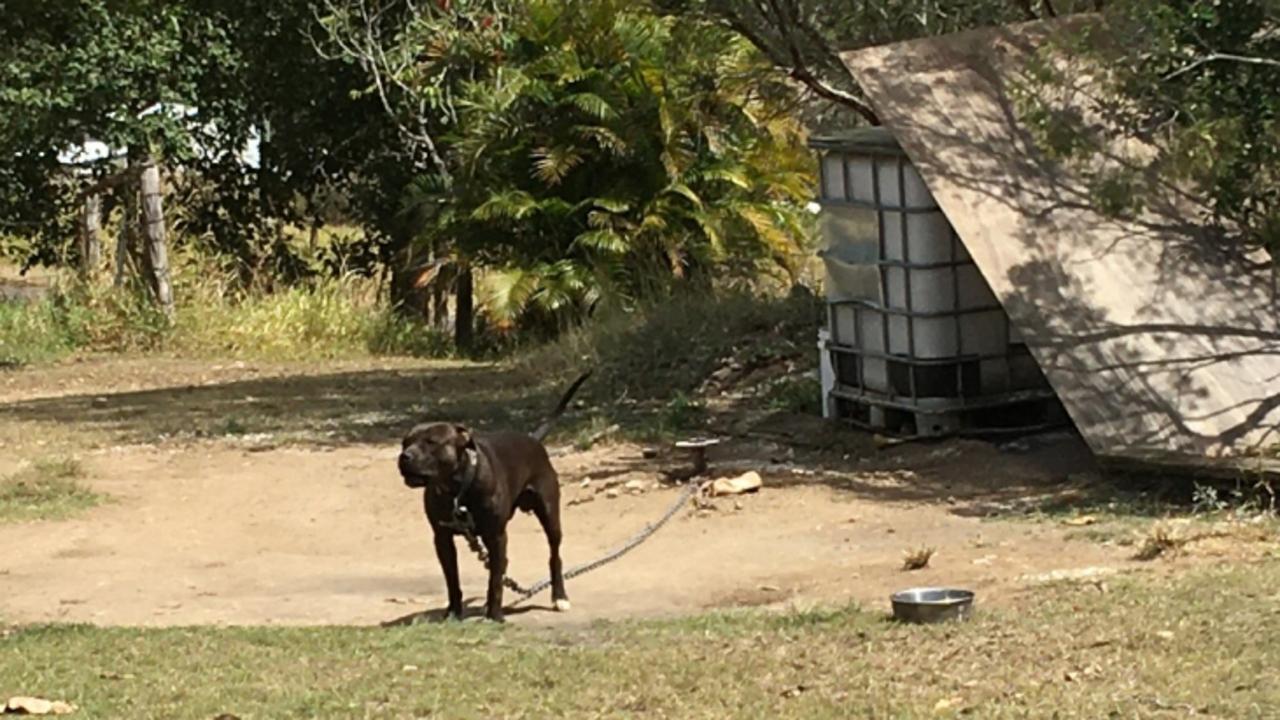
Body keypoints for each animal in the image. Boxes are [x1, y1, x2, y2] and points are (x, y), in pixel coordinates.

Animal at [396, 371, 591, 620]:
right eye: (404, 443)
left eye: (431, 442)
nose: (404, 456)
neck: (457, 489)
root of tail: (533, 439)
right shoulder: (442, 538)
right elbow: (452, 579)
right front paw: (453, 612)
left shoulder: (496, 535)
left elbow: (495, 581)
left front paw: (495, 615)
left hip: (550, 515)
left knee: (554, 556)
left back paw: (559, 596)